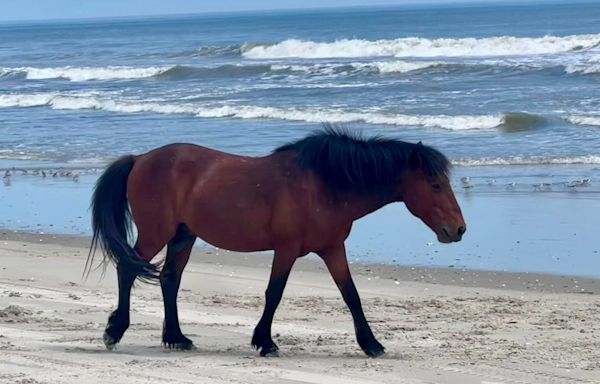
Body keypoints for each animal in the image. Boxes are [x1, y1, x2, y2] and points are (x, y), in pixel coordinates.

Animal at [86, 126, 466, 356]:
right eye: (435, 185)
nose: (458, 229)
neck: (324, 186)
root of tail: (140, 159)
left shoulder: (332, 249)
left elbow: (351, 295)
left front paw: (371, 344)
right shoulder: (286, 250)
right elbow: (274, 293)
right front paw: (264, 342)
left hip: (183, 236)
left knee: (169, 279)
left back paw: (177, 338)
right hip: (157, 233)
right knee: (127, 270)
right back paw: (114, 331)